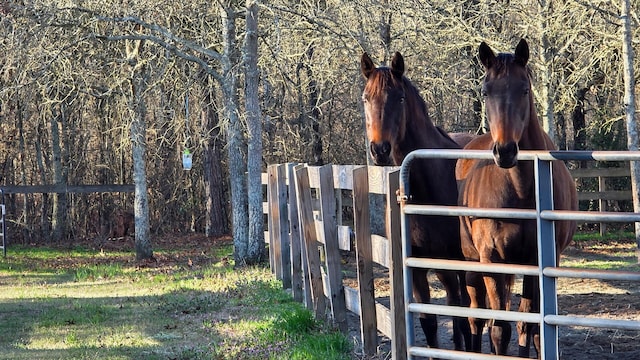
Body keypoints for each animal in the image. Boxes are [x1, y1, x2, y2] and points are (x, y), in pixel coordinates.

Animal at [362, 50, 472, 352]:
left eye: (399, 98)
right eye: (365, 98)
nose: (380, 150)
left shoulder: (454, 262)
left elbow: (460, 317)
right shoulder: (417, 267)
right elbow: (428, 321)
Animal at [456, 40, 580, 358]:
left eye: (524, 89)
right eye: (485, 91)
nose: (505, 150)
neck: (522, 190)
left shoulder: (539, 261)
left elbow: (531, 326)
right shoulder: (492, 259)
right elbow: (500, 328)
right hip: (472, 263)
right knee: (476, 318)